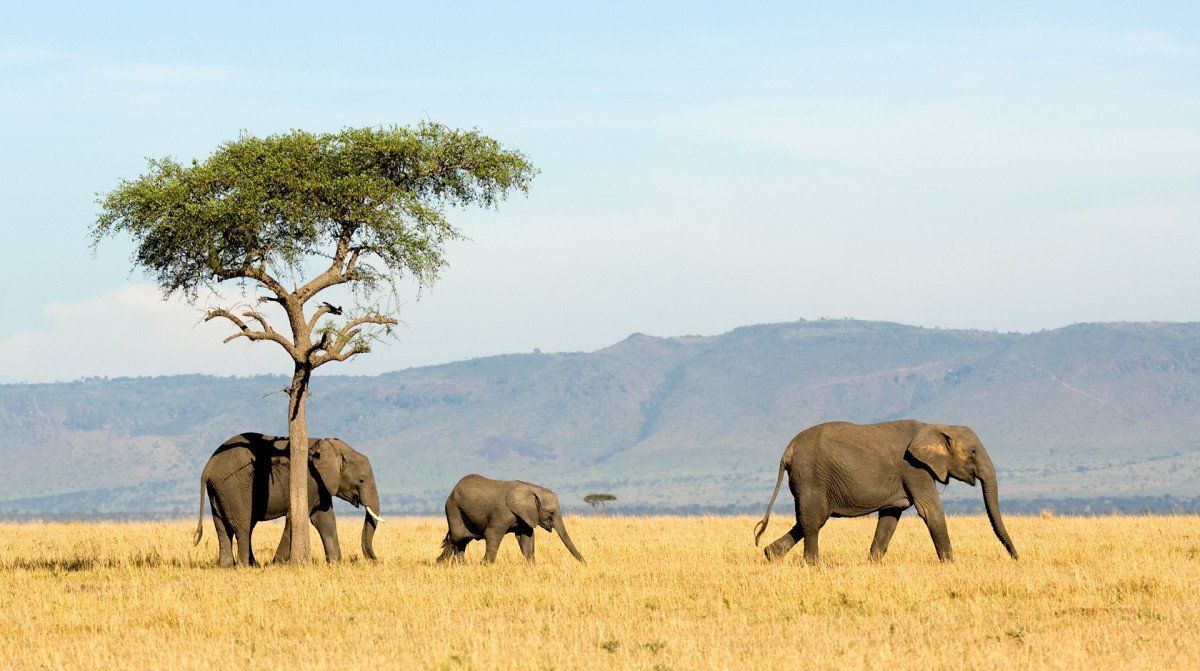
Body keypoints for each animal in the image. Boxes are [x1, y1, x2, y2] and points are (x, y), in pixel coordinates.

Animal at [192, 429, 381, 566]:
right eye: (361, 480)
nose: (375, 559)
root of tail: (208, 467)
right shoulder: (309, 480)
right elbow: (295, 518)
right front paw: (277, 564)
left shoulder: (322, 486)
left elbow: (325, 520)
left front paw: (335, 564)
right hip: (234, 486)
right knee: (243, 527)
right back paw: (246, 566)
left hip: (219, 490)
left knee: (222, 526)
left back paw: (228, 566)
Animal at [436, 475, 585, 564]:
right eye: (551, 512)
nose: (585, 563)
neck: (531, 489)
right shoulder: (502, 513)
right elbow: (492, 534)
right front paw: (485, 564)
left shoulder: (524, 517)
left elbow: (526, 539)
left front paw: (531, 565)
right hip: (454, 507)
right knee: (457, 536)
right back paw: (441, 563)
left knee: (464, 539)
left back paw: (459, 564)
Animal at [753, 422, 1017, 564]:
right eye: (973, 451)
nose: (1016, 558)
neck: (936, 426)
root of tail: (788, 451)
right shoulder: (914, 468)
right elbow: (930, 510)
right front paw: (951, 565)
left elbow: (890, 516)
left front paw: (872, 564)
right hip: (811, 476)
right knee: (813, 521)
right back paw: (813, 565)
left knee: (808, 520)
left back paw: (770, 555)